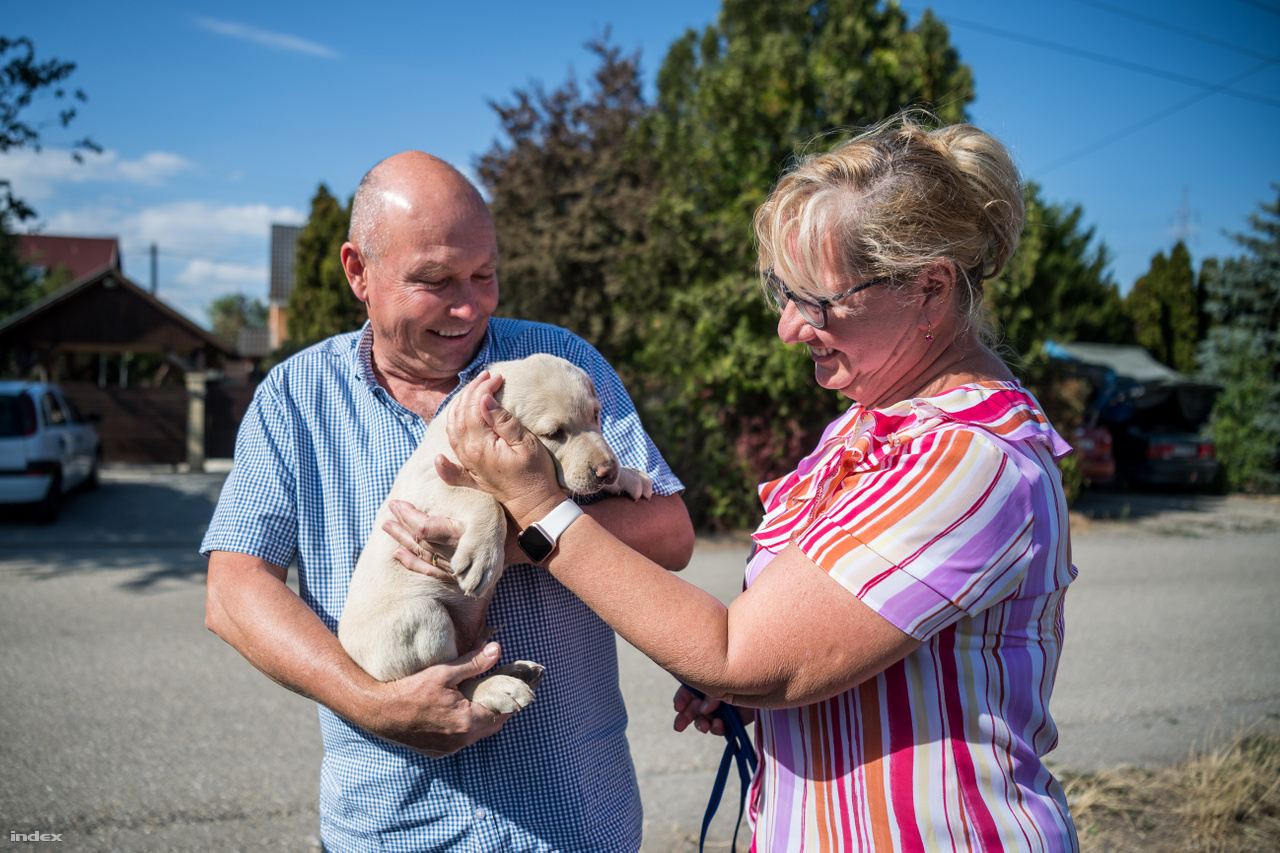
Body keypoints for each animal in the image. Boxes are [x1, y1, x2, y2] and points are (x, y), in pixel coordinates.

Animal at [340, 356, 655, 712]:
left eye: (597, 415)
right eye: (554, 434)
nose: (607, 471)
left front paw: (630, 476)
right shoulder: (430, 485)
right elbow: (486, 500)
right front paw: (482, 557)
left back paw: (516, 671)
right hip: (422, 617)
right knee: (448, 682)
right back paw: (499, 688)